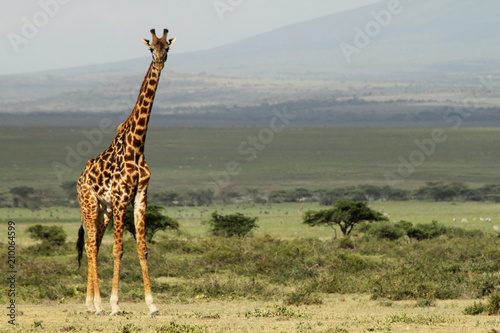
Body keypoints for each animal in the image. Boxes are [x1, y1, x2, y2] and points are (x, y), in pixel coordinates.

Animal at [75, 27, 175, 314]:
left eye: (167, 47)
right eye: (151, 48)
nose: (160, 62)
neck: (137, 144)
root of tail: (80, 179)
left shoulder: (140, 196)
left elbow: (142, 248)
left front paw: (152, 304)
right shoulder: (121, 198)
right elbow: (118, 249)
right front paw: (115, 304)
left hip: (104, 210)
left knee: (95, 244)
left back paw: (90, 303)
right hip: (89, 204)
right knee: (90, 245)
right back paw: (97, 305)